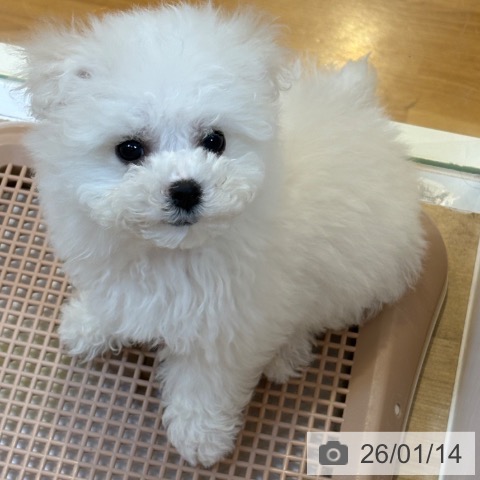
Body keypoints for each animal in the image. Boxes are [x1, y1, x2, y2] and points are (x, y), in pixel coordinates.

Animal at [22, 3, 425, 467]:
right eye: (129, 149)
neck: (168, 252)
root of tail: (360, 110)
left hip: (357, 271)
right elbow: (114, 303)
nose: (185, 189)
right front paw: (89, 324)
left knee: (321, 312)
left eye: (215, 140)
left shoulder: (228, 324)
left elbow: (205, 381)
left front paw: (199, 436)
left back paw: (286, 354)